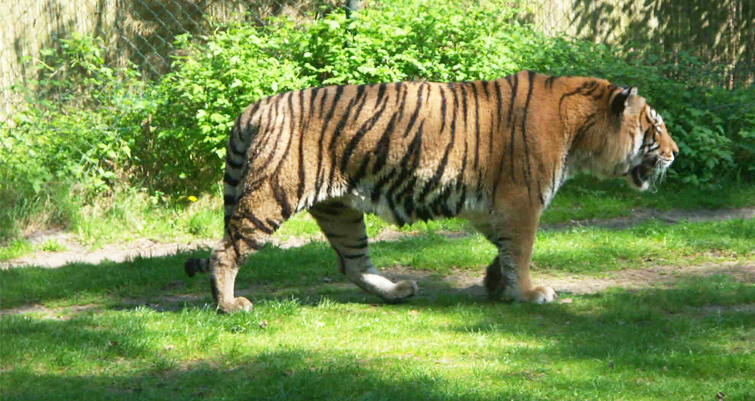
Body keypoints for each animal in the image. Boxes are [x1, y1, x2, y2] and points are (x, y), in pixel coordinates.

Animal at [182, 69, 680, 312]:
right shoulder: (522, 201)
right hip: (270, 196)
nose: (675, 154)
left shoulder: (493, 207)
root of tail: (254, 108)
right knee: (225, 251)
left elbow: (505, 250)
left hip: (340, 210)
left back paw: (397, 291)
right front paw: (528, 293)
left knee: (353, 263)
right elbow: (521, 251)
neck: (583, 134)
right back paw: (229, 305)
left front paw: (496, 284)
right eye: (656, 127)